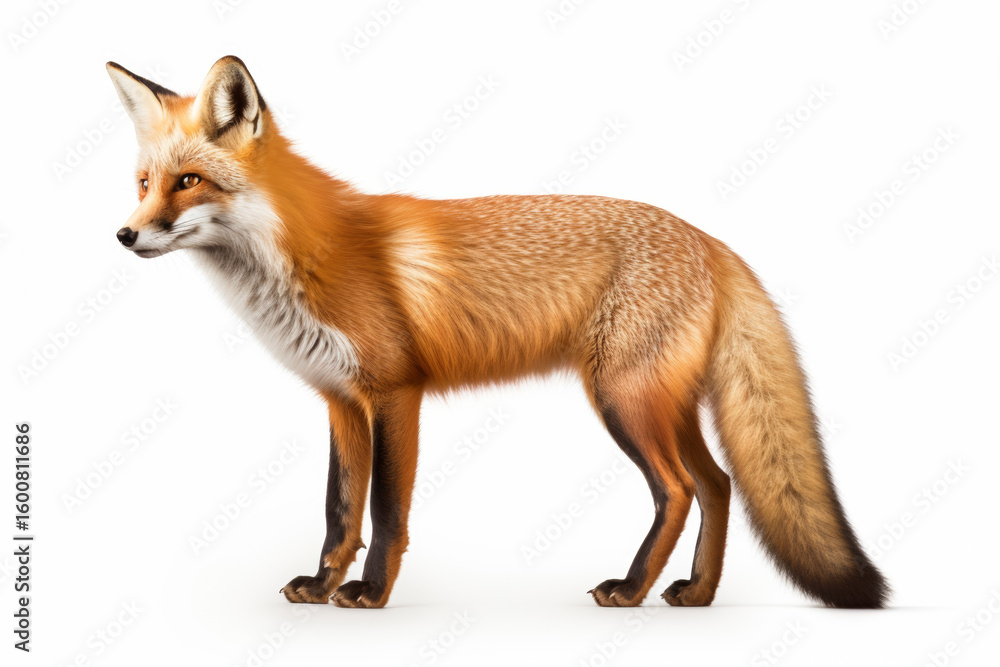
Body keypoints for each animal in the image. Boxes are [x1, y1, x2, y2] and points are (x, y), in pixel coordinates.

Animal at [107, 56, 888, 609]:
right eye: (143, 183)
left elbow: (385, 512)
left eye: (188, 182)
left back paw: (631, 589)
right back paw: (696, 593)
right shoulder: (341, 401)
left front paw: (369, 594)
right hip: (663, 403)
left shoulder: (396, 393)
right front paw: (322, 586)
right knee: (720, 484)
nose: (124, 235)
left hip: (624, 400)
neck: (300, 258)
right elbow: (339, 511)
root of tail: (709, 240)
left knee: (679, 490)